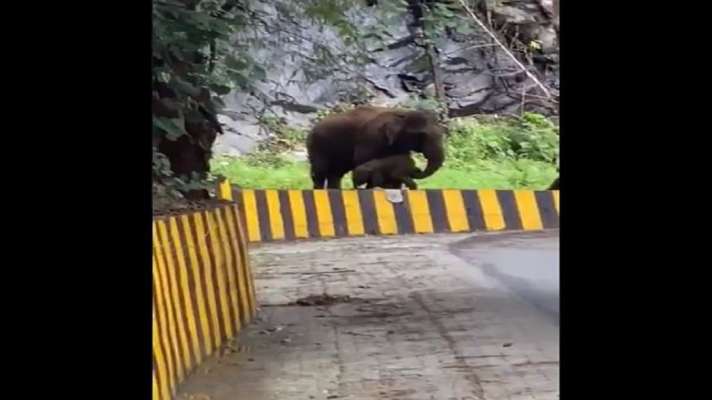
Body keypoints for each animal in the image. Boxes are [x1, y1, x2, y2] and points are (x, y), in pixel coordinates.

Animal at [306, 105, 444, 188]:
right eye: (422, 135)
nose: (418, 170)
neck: (401, 113)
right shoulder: (371, 137)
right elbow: (363, 160)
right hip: (317, 147)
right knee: (319, 173)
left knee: (335, 174)